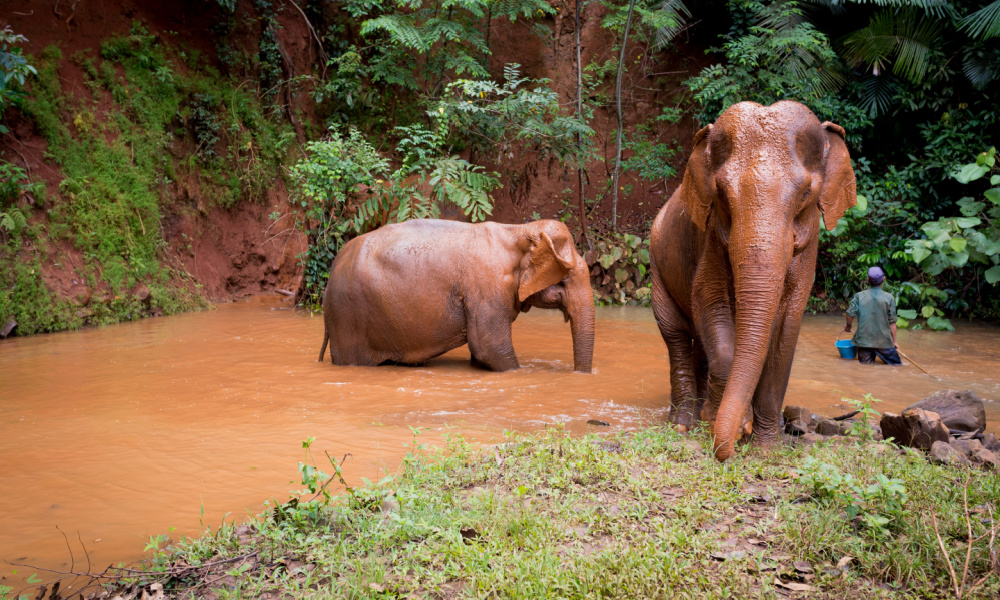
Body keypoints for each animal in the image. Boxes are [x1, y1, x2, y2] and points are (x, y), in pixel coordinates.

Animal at [316, 218, 592, 372]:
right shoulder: (486, 286)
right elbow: (489, 347)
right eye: (564, 278)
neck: (518, 230)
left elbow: (481, 354)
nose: (577, 375)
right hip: (348, 317)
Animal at [652, 101, 856, 462]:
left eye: (806, 193)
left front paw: (765, 449)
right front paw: (730, 426)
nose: (729, 448)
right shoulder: (709, 238)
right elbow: (708, 300)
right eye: (720, 194)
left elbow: (787, 324)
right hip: (657, 268)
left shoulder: (809, 248)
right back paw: (684, 424)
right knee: (675, 335)